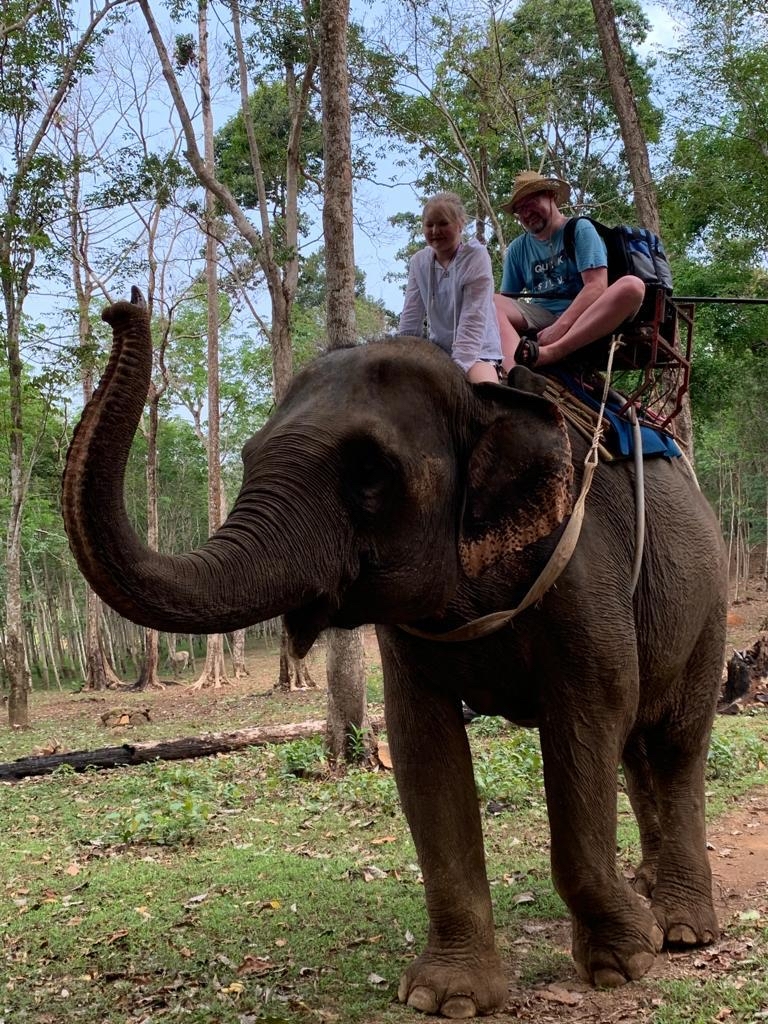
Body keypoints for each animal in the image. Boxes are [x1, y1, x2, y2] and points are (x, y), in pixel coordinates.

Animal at [63, 292, 729, 1019]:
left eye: (370, 472)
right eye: (248, 454)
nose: (121, 309)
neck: (484, 399)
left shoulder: (582, 565)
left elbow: (585, 719)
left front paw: (625, 962)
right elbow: (423, 746)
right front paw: (448, 998)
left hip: (710, 606)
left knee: (677, 744)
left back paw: (683, 928)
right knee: (638, 749)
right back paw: (646, 884)